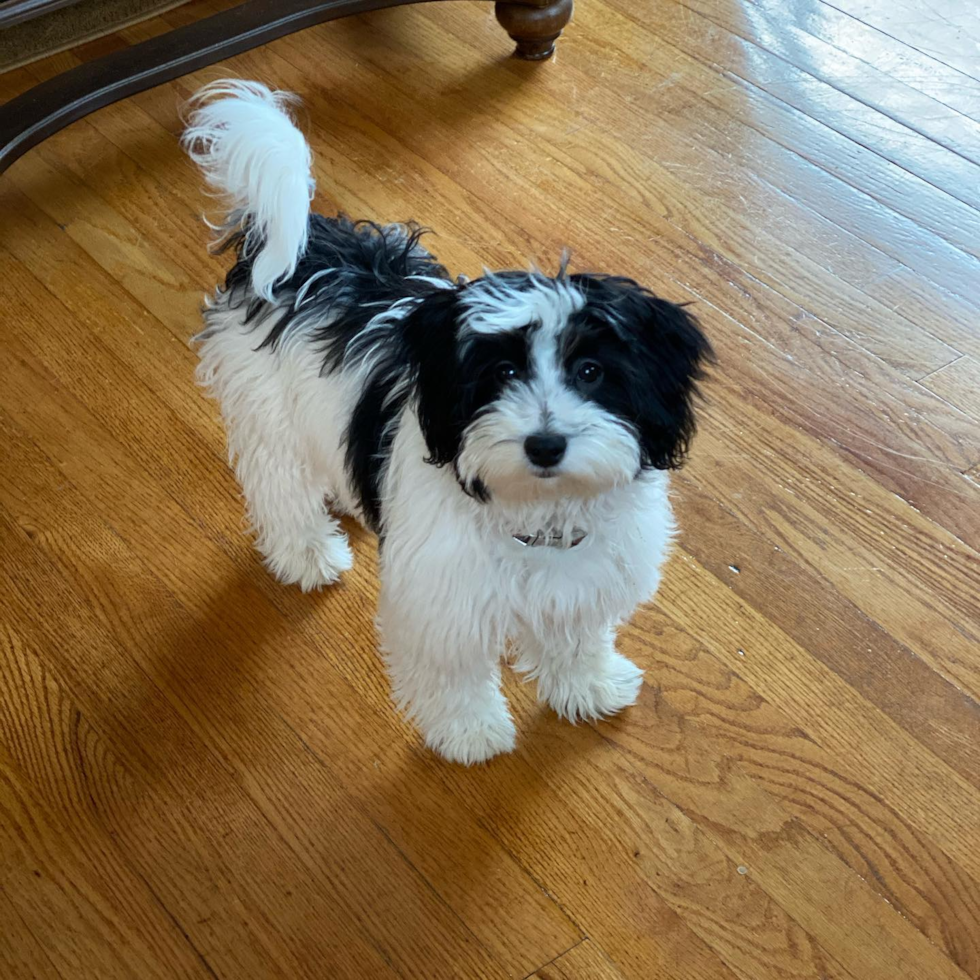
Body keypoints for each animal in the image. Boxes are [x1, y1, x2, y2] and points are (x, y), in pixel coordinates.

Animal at [180, 80, 708, 760]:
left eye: (591, 371)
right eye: (502, 373)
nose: (544, 445)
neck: (535, 512)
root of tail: (303, 249)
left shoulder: (581, 585)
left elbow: (575, 638)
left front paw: (588, 688)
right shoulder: (443, 602)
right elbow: (452, 671)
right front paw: (470, 733)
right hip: (270, 415)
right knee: (280, 489)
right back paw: (307, 554)